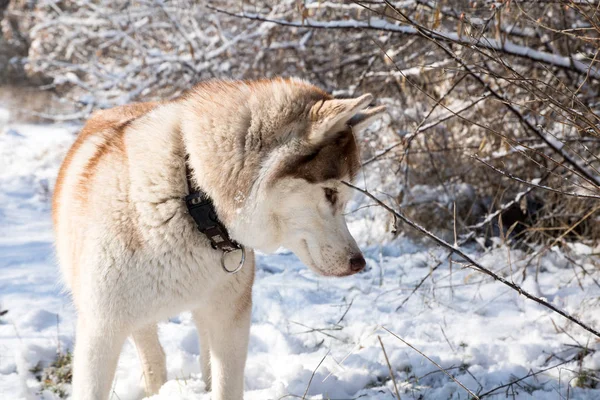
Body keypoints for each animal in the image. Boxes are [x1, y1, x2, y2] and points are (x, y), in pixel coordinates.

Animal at [54, 78, 386, 400]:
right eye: (330, 193)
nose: (359, 262)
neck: (191, 196)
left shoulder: (230, 320)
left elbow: (226, 385)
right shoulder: (101, 330)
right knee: (153, 355)